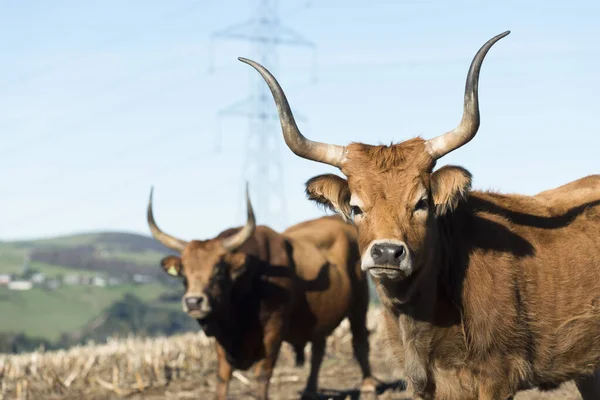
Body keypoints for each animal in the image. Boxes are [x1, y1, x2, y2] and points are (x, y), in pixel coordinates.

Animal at [146, 186, 376, 400]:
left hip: (360, 303)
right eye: (183, 274)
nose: (194, 302)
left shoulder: (273, 328)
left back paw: (368, 386)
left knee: (360, 341)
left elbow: (263, 373)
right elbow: (223, 375)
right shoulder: (222, 338)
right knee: (318, 351)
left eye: (218, 271)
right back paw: (310, 391)